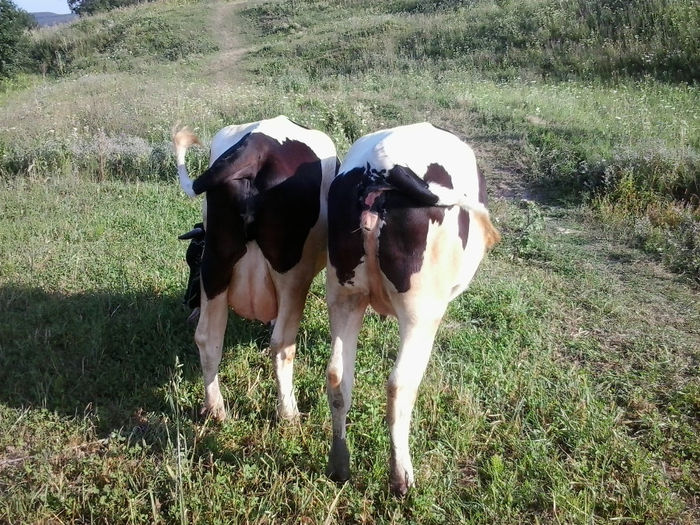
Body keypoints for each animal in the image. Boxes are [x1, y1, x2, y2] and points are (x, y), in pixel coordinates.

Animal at [174, 115, 338, 422]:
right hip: (292, 272)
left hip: (217, 260)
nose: (189, 301)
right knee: (282, 344)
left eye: (193, 262)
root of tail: (256, 146)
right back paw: (289, 413)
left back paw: (216, 408)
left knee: (207, 337)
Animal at [324, 123, 500, 496]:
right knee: (399, 384)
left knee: (337, 376)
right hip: (422, 310)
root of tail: (382, 169)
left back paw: (340, 465)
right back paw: (401, 476)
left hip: (344, 293)